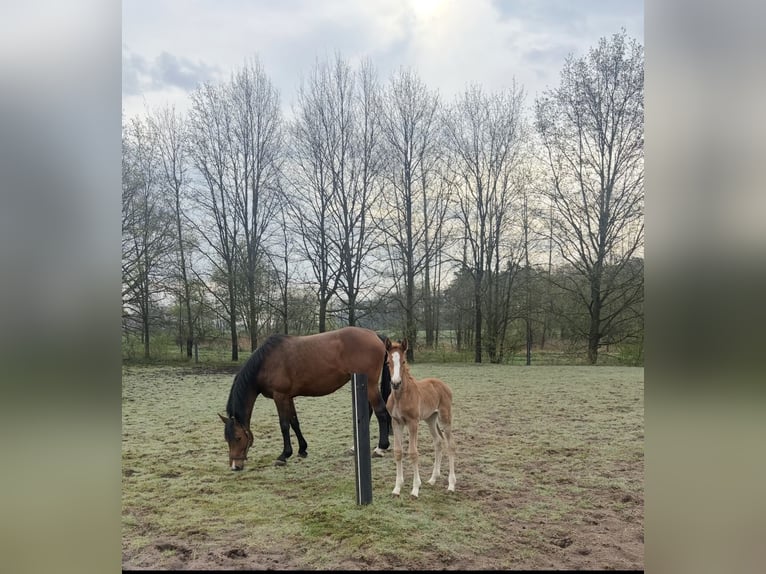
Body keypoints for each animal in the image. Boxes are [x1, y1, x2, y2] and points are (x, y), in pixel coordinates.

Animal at [218, 326, 391, 470]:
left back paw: (380, 448)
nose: (235, 466)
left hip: (370, 385)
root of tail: (376, 335)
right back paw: (356, 448)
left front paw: (284, 455)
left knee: (381, 412)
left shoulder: (279, 396)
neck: (265, 362)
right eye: (227, 439)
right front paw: (302, 449)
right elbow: (294, 422)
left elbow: (284, 425)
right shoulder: (288, 397)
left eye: (238, 438)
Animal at [384, 337, 456, 497]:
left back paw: (451, 484)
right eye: (387, 362)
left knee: (450, 445)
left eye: (404, 361)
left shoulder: (412, 423)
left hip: (444, 417)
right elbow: (398, 452)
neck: (400, 397)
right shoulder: (396, 422)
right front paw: (397, 488)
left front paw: (415, 488)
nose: (395, 383)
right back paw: (433, 479)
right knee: (438, 441)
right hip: (431, 419)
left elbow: (413, 453)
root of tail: (443, 385)